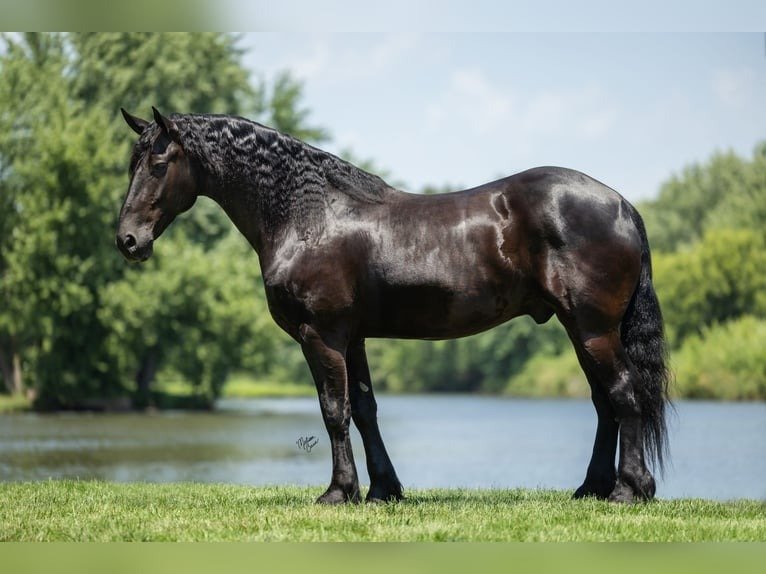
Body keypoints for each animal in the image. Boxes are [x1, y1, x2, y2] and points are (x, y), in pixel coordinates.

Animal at [116, 107, 670, 504]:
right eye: (130, 165)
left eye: (159, 165)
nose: (127, 240)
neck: (307, 215)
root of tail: (622, 205)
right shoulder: (353, 337)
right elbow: (364, 410)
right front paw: (383, 490)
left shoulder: (322, 335)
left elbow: (333, 410)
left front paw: (338, 492)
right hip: (583, 330)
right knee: (604, 403)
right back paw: (591, 489)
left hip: (593, 328)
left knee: (624, 395)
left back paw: (627, 490)